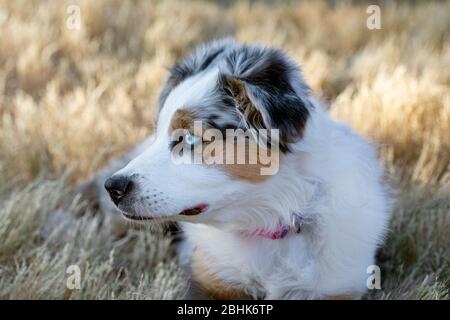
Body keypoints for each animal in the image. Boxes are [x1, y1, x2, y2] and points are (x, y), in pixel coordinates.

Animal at [92, 38, 390, 300]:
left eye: (189, 140)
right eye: (157, 133)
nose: (113, 187)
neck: (271, 219)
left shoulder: (338, 288)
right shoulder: (210, 278)